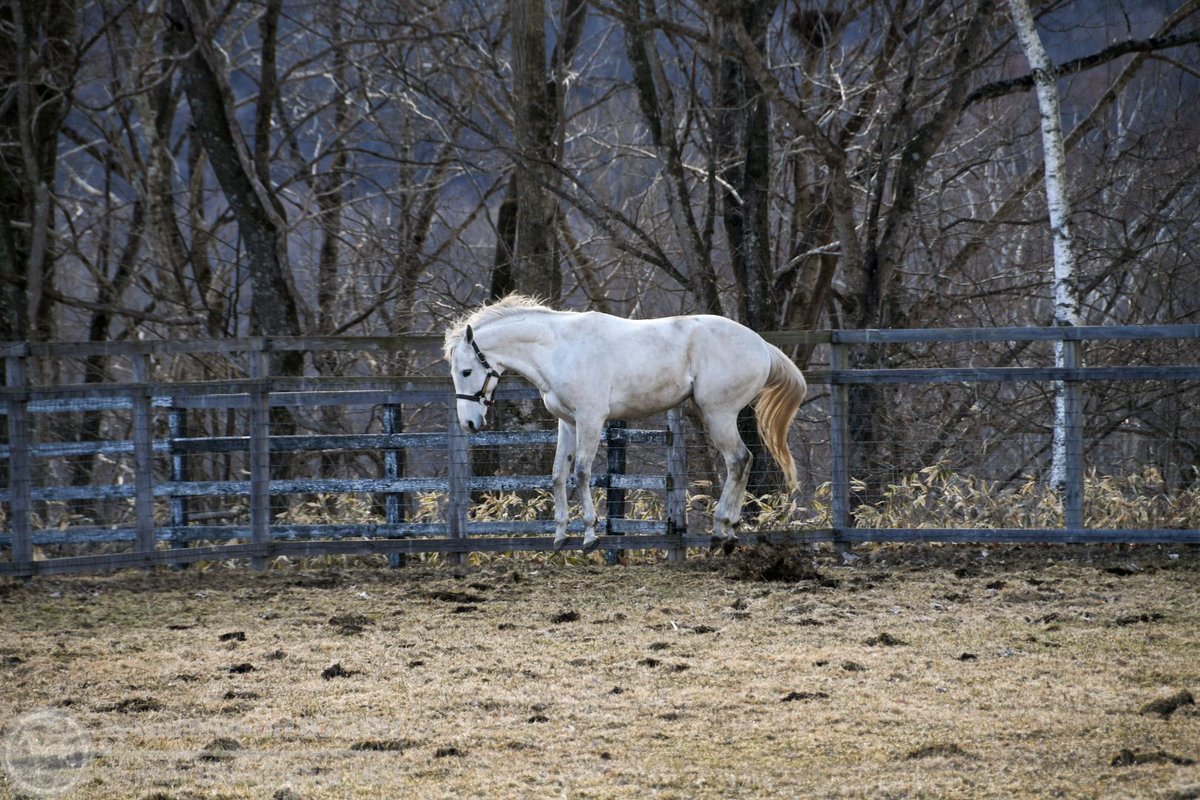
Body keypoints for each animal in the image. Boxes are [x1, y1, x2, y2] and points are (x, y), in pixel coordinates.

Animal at [441, 297, 806, 554]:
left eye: (466, 371)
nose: (469, 423)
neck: (560, 349)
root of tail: (761, 345)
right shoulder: (568, 423)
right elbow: (558, 474)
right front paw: (559, 536)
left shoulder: (590, 419)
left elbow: (582, 473)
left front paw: (590, 535)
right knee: (743, 462)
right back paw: (727, 531)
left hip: (719, 413)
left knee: (738, 461)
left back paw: (722, 531)